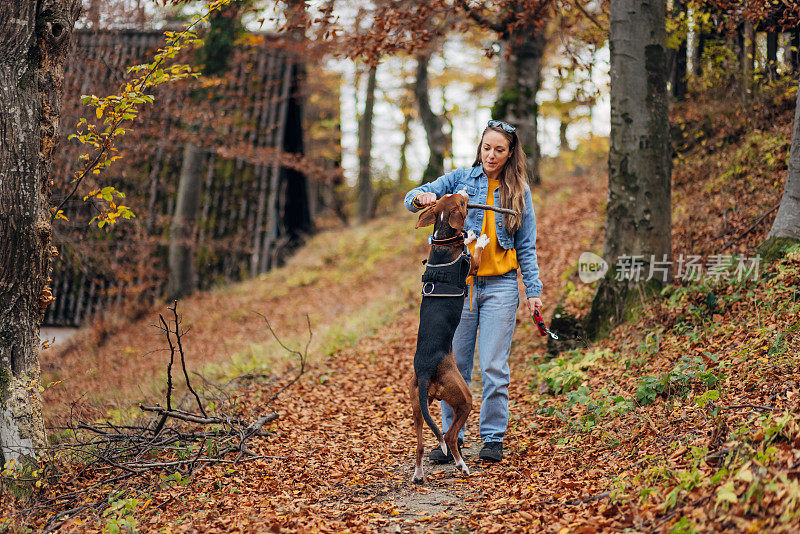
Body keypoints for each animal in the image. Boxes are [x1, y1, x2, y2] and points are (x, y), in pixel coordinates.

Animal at [406, 192, 488, 486]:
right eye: (461, 203)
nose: (465, 191)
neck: (443, 241)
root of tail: (425, 370)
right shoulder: (473, 267)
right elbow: (476, 253)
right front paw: (478, 237)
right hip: (464, 397)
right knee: (450, 436)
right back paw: (462, 466)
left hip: (418, 406)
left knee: (419, 445)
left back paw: (419, 474)